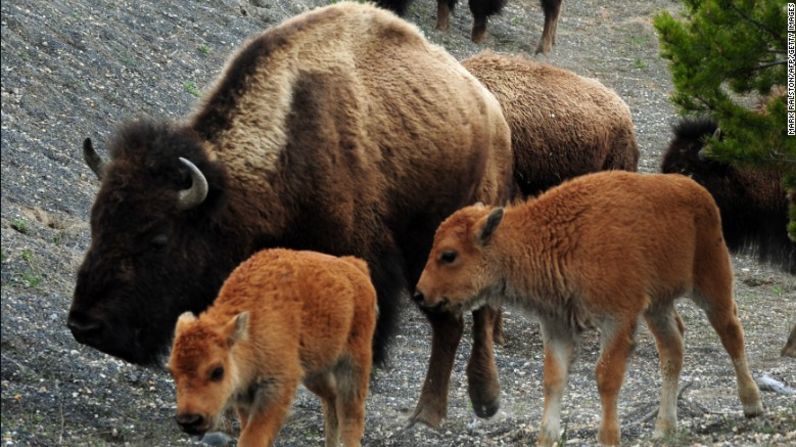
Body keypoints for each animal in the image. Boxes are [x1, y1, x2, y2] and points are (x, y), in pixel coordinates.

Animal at [167, 248, 376, 447]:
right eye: (173, 373)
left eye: (218, 371)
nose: (190, 421)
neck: (251, 329)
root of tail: (354, 266)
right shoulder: (246, 397)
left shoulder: (277, 388)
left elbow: (252, 438)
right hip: (314, 373)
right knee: (331, 398)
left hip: (354, 364)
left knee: (351, 419)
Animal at [414, 171, 760, 444]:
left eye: (449, 255)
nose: (419, 294)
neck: (554, 237)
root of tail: (697, 190)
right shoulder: (556, 326)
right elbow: (553, 380)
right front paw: (546, 438)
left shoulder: (617, 321)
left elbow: (606, 378)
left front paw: (608, 437)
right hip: (657, 306)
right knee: (673, 349)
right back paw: (664, 427)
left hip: (711, 284)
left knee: (731, 332)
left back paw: (752, 404)